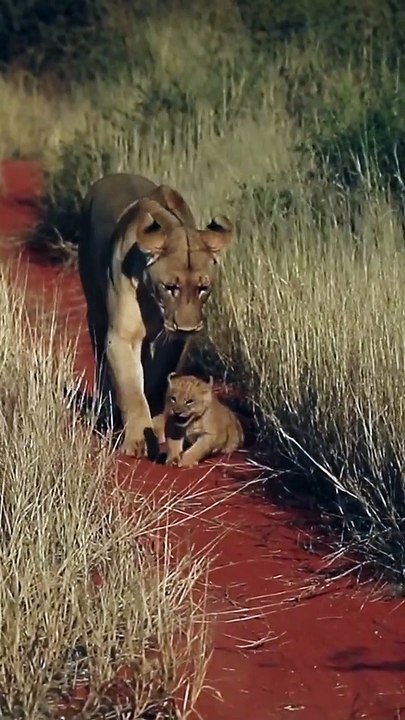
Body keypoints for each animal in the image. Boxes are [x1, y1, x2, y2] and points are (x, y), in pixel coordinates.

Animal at [78, 173, 233, 458]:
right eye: (170, 287)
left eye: (203, 288)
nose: (186, 328)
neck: (153, 301)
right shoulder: (122, 337)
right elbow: (130, 389)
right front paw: (139, 439)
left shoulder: (173, 342)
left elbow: (161, 379)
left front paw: (160, 424)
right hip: (95, 308)